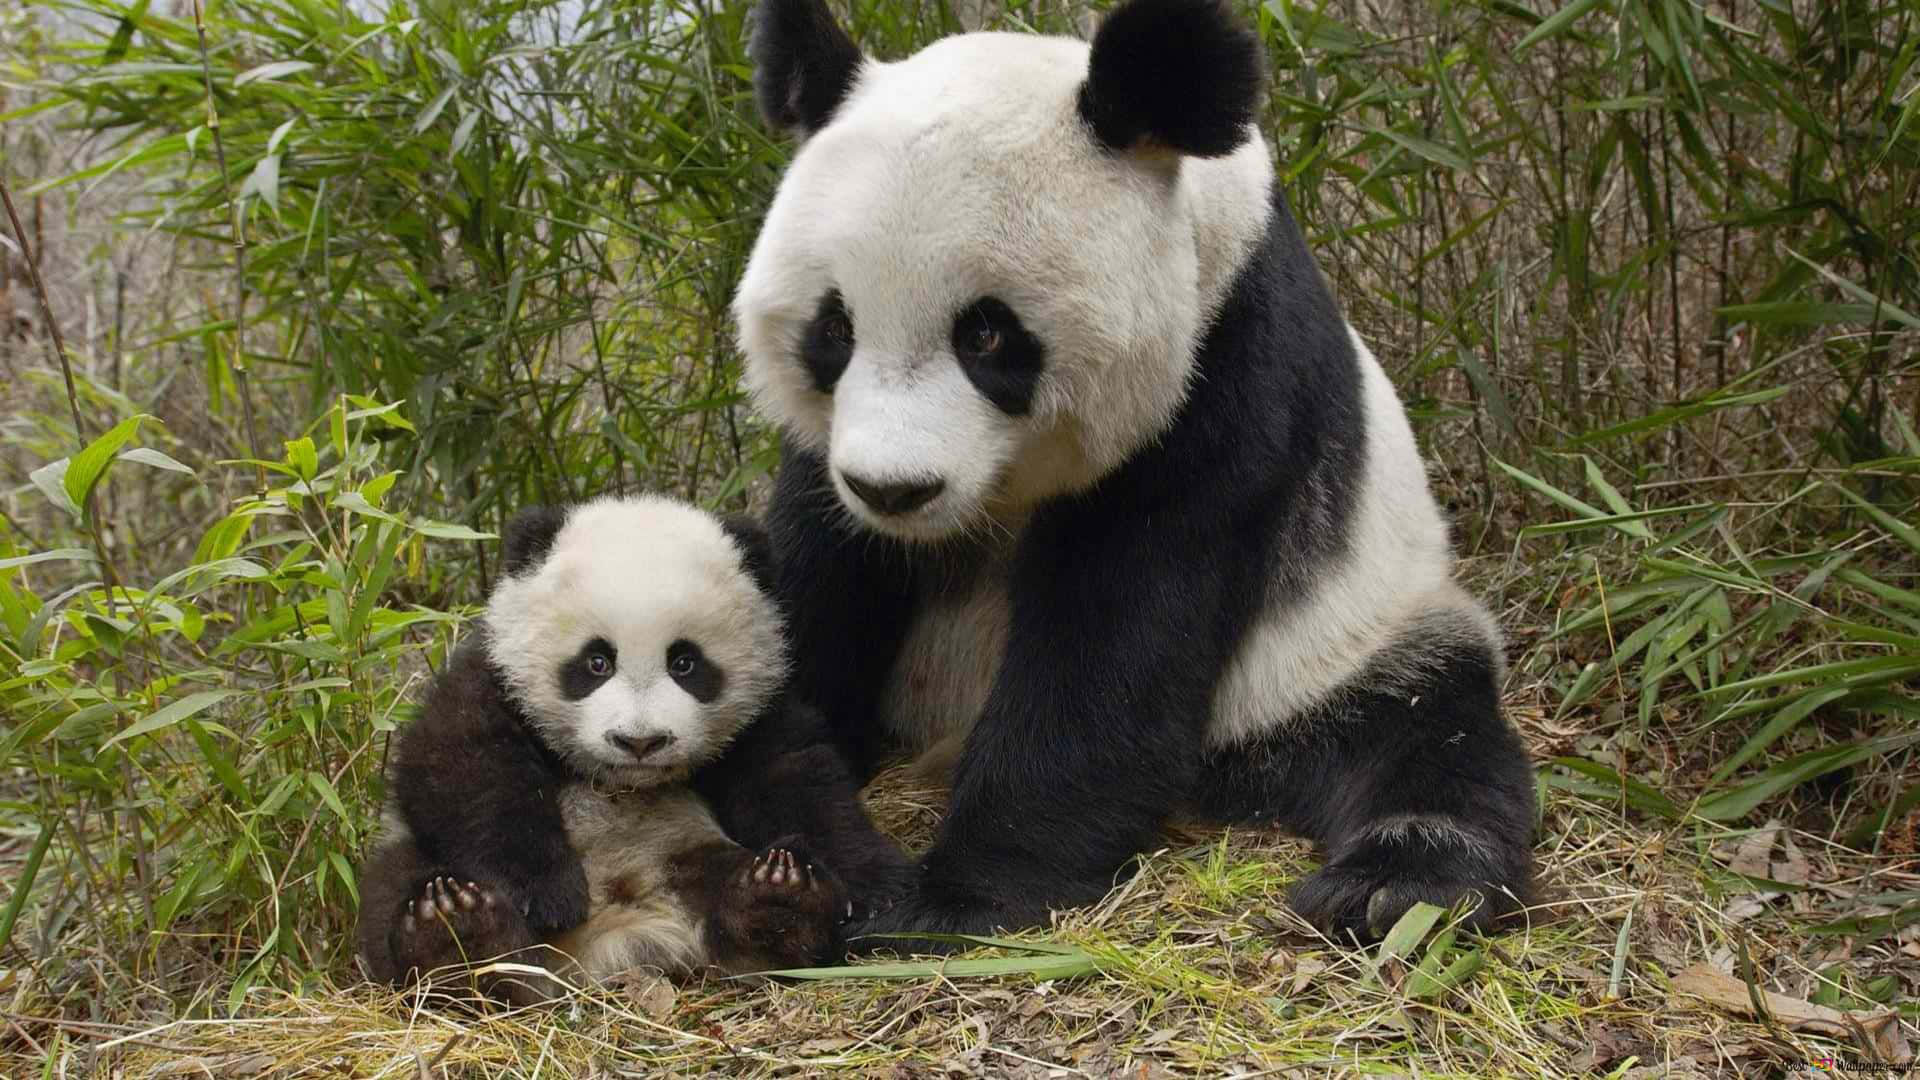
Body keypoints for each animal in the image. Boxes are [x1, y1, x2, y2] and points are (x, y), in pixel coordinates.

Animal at [725, 0, 1536, 937]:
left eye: (987, 334)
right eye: (834, 330)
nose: (895, 491)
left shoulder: (1224, 373)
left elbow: (1119, 633)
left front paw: (955, 897)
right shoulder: (828, 460)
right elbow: (816, 578)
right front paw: (794, 837)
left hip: (1344, 639)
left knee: (1424, 728)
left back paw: (1393, 886)